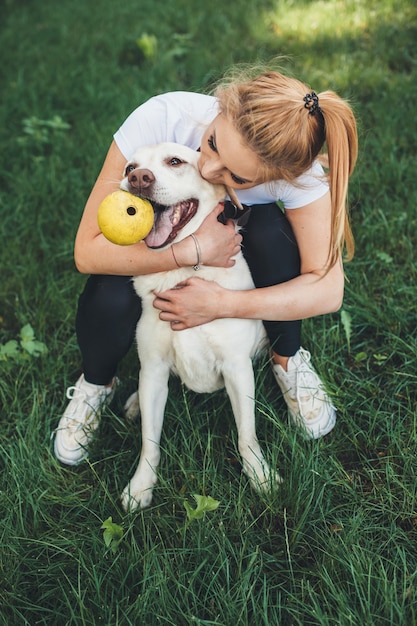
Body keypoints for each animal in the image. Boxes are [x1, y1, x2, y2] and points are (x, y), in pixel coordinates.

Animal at [118, 144, 278, 510]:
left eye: (175, 161)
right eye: (130, 167)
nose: (138, 178)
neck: (182, 273)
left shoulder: (237, 368)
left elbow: (247, 435)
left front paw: (260, 476)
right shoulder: (154, 369)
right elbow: (150, 441)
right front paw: (141, 486)